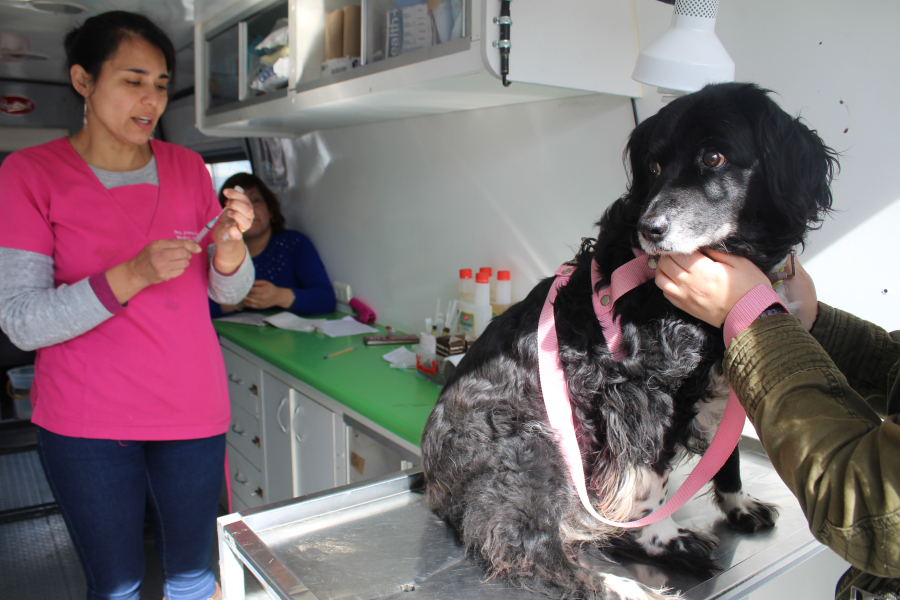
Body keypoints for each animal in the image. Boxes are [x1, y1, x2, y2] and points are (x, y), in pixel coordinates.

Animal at [420, 83, 836, 600]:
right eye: (654, 166)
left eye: (714, 157)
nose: (649, 229)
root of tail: (434, 474)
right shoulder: (642, 394)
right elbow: (650, 482)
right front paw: (663, 539)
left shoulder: (724, 372)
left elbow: (728, 453)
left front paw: (737, 503)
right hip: (538, 447)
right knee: (522, 543)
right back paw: (617, 585)